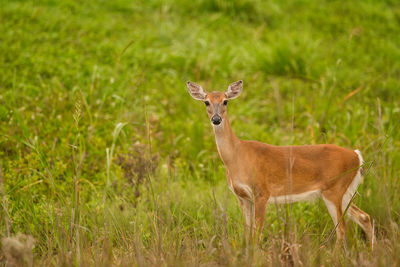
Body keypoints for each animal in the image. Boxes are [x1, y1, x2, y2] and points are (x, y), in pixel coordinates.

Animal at [188, 79, 376, 249]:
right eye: (206, 102)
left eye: (225, 101)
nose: (216, 119)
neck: (236, 156)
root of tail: (357, 156)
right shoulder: (242, 197)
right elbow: (247, 235)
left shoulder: (262, 192)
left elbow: (256, 236)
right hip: (344, 192)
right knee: (364, 217)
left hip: (334, 190)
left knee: (342, 229)